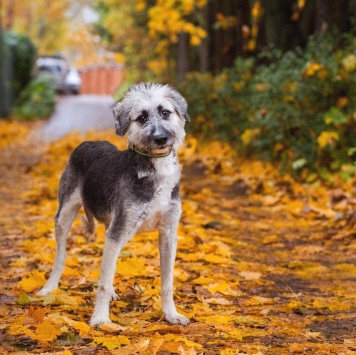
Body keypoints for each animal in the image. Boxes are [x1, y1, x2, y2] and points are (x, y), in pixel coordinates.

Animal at [37, 82, 191, 326]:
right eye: (141, 117)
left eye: (165, 112)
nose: (160, 138)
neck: (155, 167)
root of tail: (88, 141)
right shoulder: (118, 231)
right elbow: (102, 282)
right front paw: (100, 318)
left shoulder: (168, 233)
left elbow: (167, 283)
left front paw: (171, 315)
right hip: (65, 215)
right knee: (61, 256)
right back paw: (49, 288)